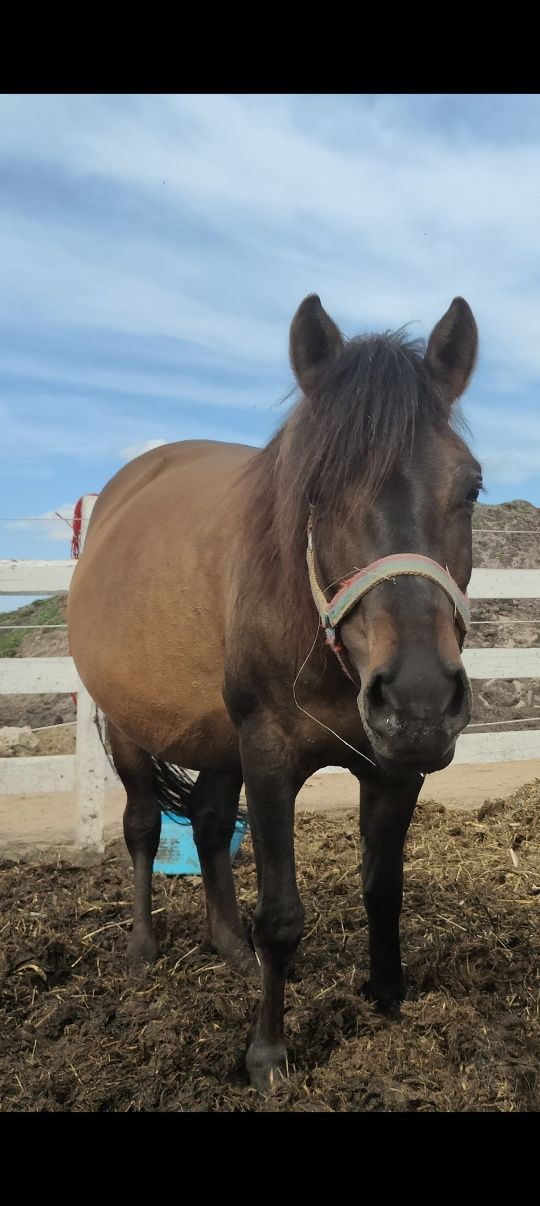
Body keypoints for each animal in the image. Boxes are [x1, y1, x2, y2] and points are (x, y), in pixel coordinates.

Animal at [68, 294, 482, 1095]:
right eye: (316, 491)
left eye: (472, 487)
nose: (418, 699)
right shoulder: (267, 755)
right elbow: (283, 914)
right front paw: (266, 1054)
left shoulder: (394, 768)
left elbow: (382, 887)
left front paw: (387, 999)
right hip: (133, 731)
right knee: (142, 827)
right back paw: (142, 949)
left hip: (214, 738)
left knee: (204, 823)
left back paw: (229, 946)